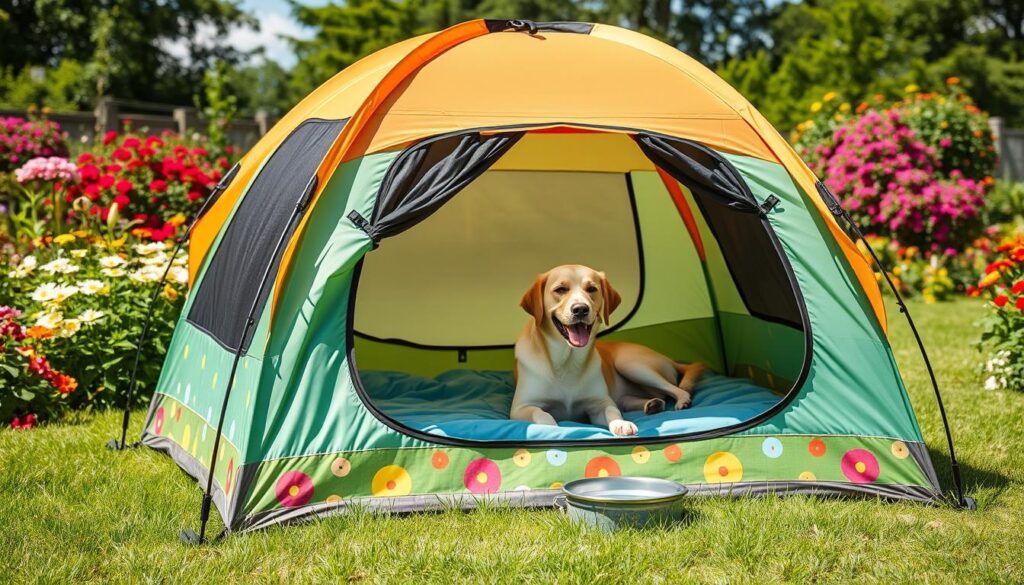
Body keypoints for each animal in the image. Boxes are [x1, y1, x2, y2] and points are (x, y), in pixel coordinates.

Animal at [509, 266, 704, 434]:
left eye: (591, 289)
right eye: (560, 289)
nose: (580, 309)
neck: (567, 362)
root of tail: (669, 360)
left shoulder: (599, 403)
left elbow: (612, 411)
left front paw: (621, 424)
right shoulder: (520, 408)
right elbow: (541, 414)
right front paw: (552, 427)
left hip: (630, 364)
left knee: (675, 389)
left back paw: (681, 400)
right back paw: (653, 405)